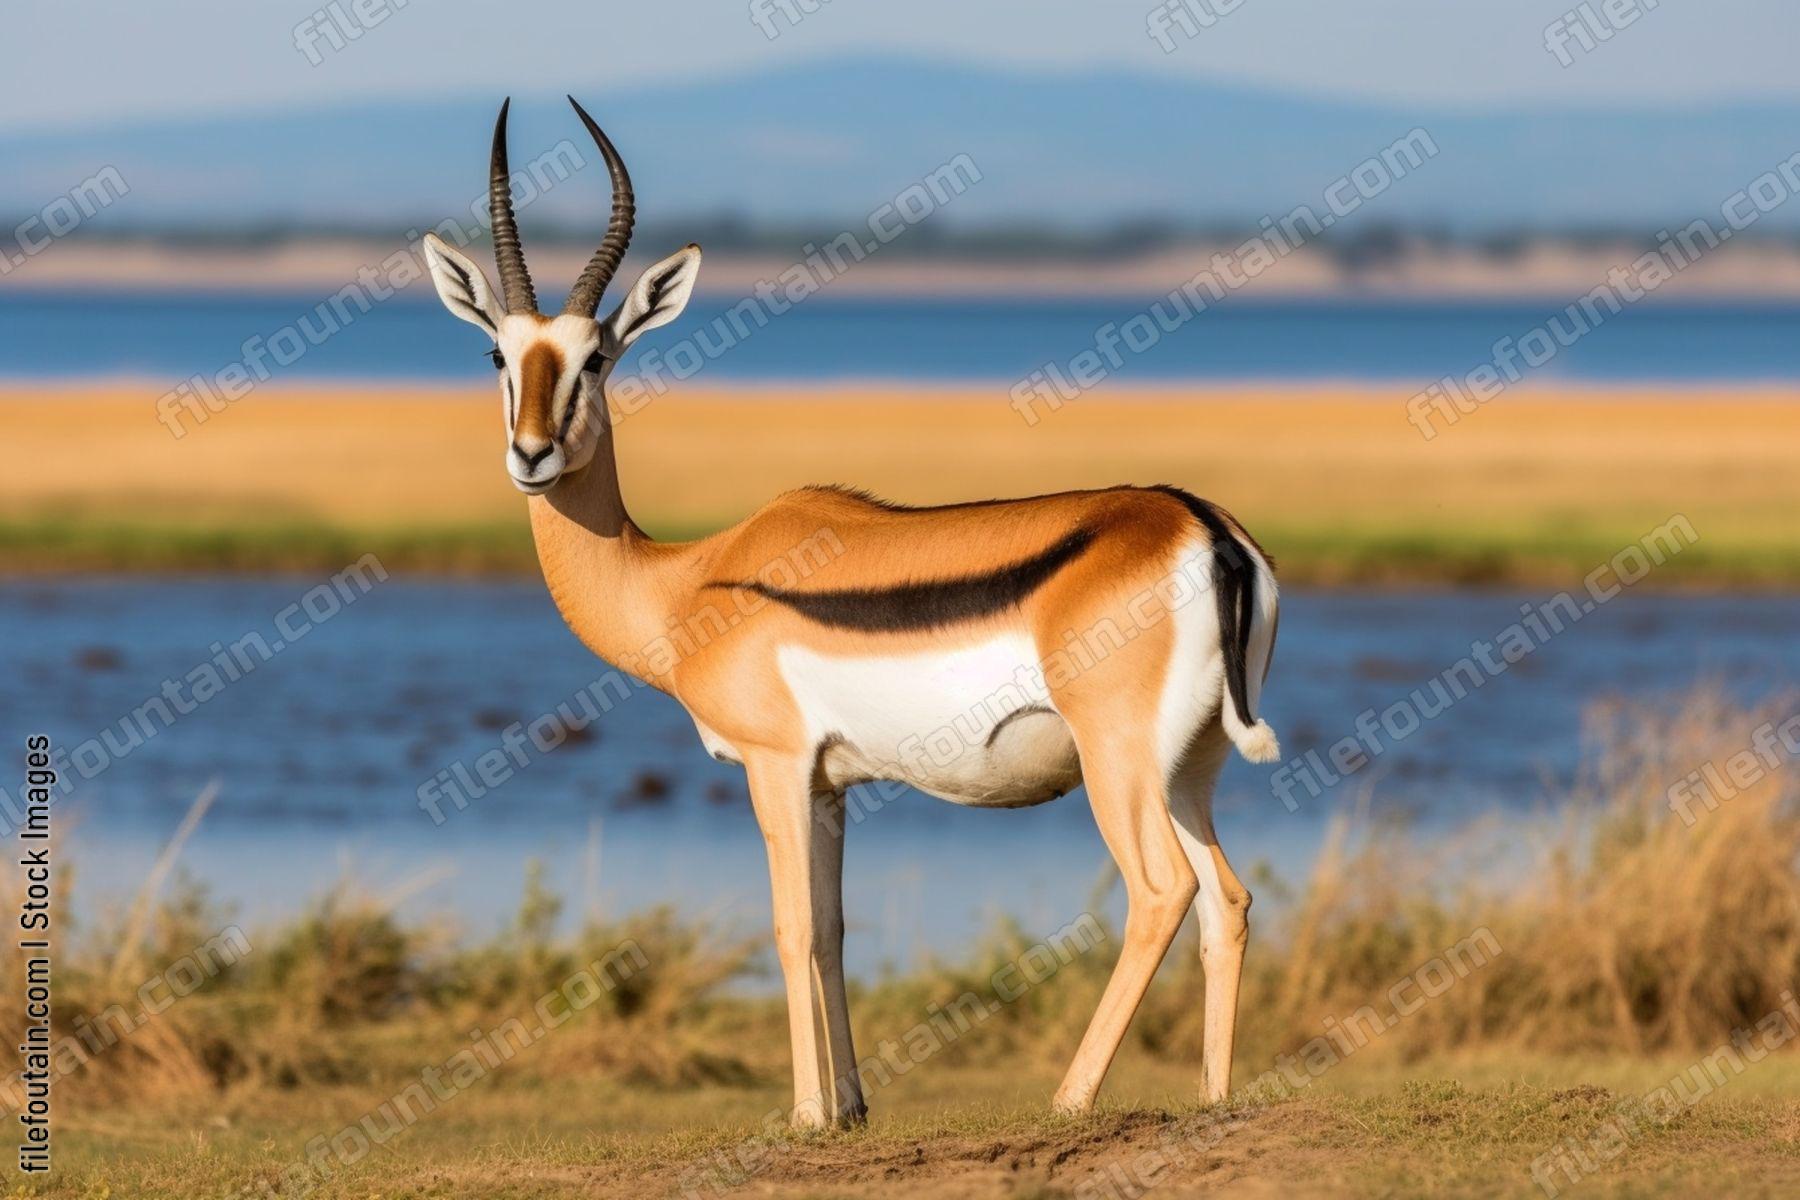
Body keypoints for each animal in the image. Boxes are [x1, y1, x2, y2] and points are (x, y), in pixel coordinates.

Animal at [423, 98, 1281, 1128]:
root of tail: (1203, 528)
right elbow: (832, 931)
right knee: (1226, 898)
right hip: (1190, 766)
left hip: (1118, 765)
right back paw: (1214, 1100)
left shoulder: (776, 768)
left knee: (1160, 892)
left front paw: (803, 1116)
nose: (533, 454)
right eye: (499, 353)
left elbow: (791, 928)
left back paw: (1069, 1101)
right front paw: (854, 1110)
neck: (685, 584)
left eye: (597, 358)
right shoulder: (833, 785)